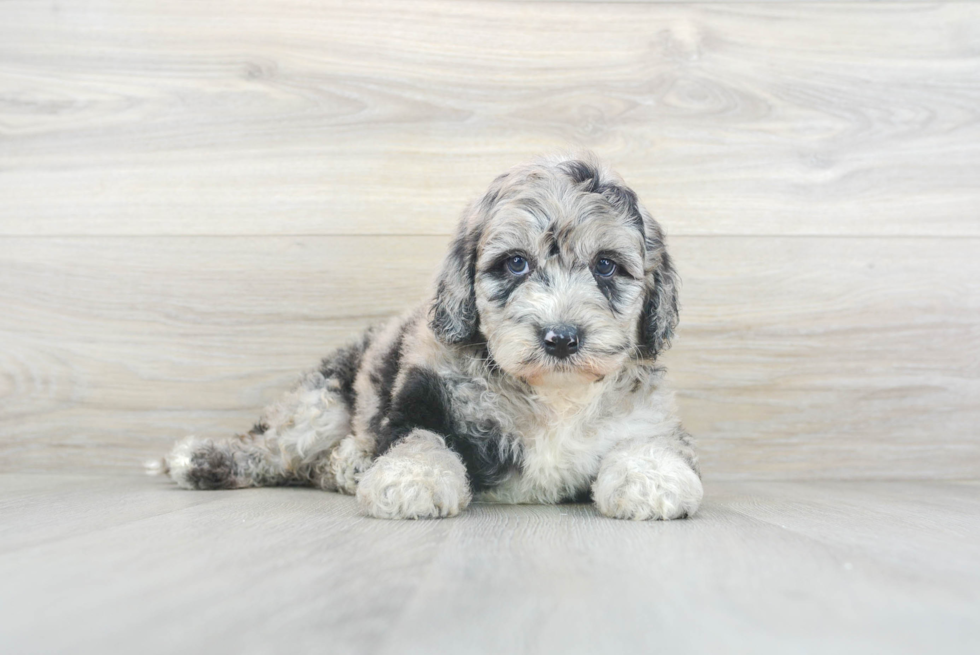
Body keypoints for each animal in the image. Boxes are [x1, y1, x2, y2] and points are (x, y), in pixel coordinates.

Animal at [151, 155, 704, 524]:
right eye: (516, 264)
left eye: (606, 266)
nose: (561, 338)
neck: (553, 396)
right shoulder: (421, 393)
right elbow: (420, 438)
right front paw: (411, 480)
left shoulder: (648, 414)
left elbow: (652, 444)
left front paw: (653, 480)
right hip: (322, 401)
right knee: (273, 447)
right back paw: (201, 459)